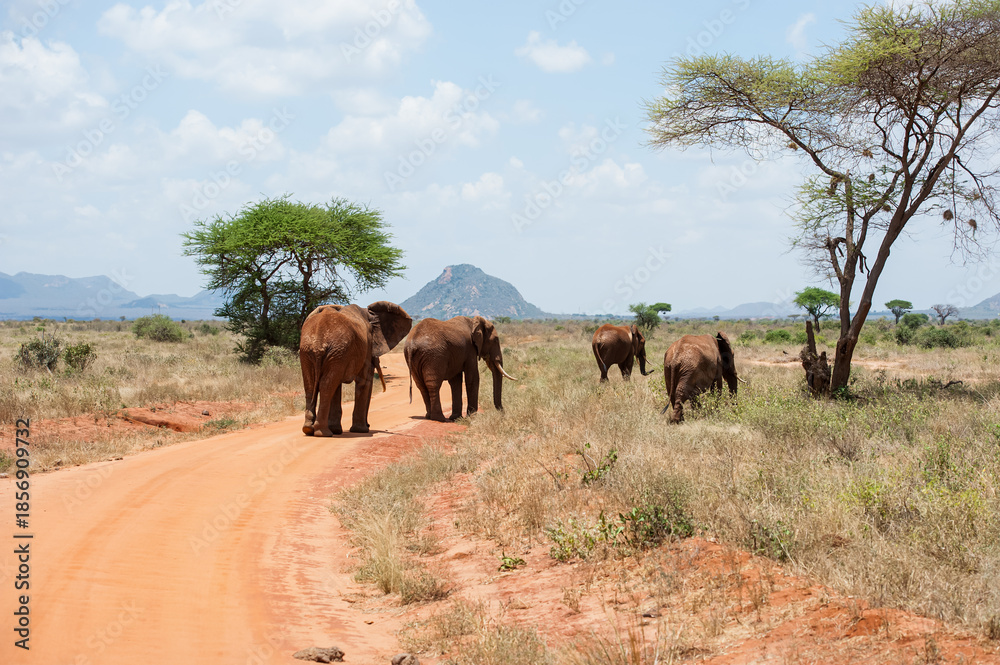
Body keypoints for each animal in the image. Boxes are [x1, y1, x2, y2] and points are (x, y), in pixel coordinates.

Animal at [299, 301, 412, 436]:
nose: (369, 425)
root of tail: (318, 344)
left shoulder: (342, 356)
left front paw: (337, 430)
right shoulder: (364, 349)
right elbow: (363, 381)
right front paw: (361, 430)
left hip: (312, 352)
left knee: (311, 386)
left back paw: (308, 429)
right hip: (331, 351)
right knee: (326, 386)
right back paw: (323, 433)